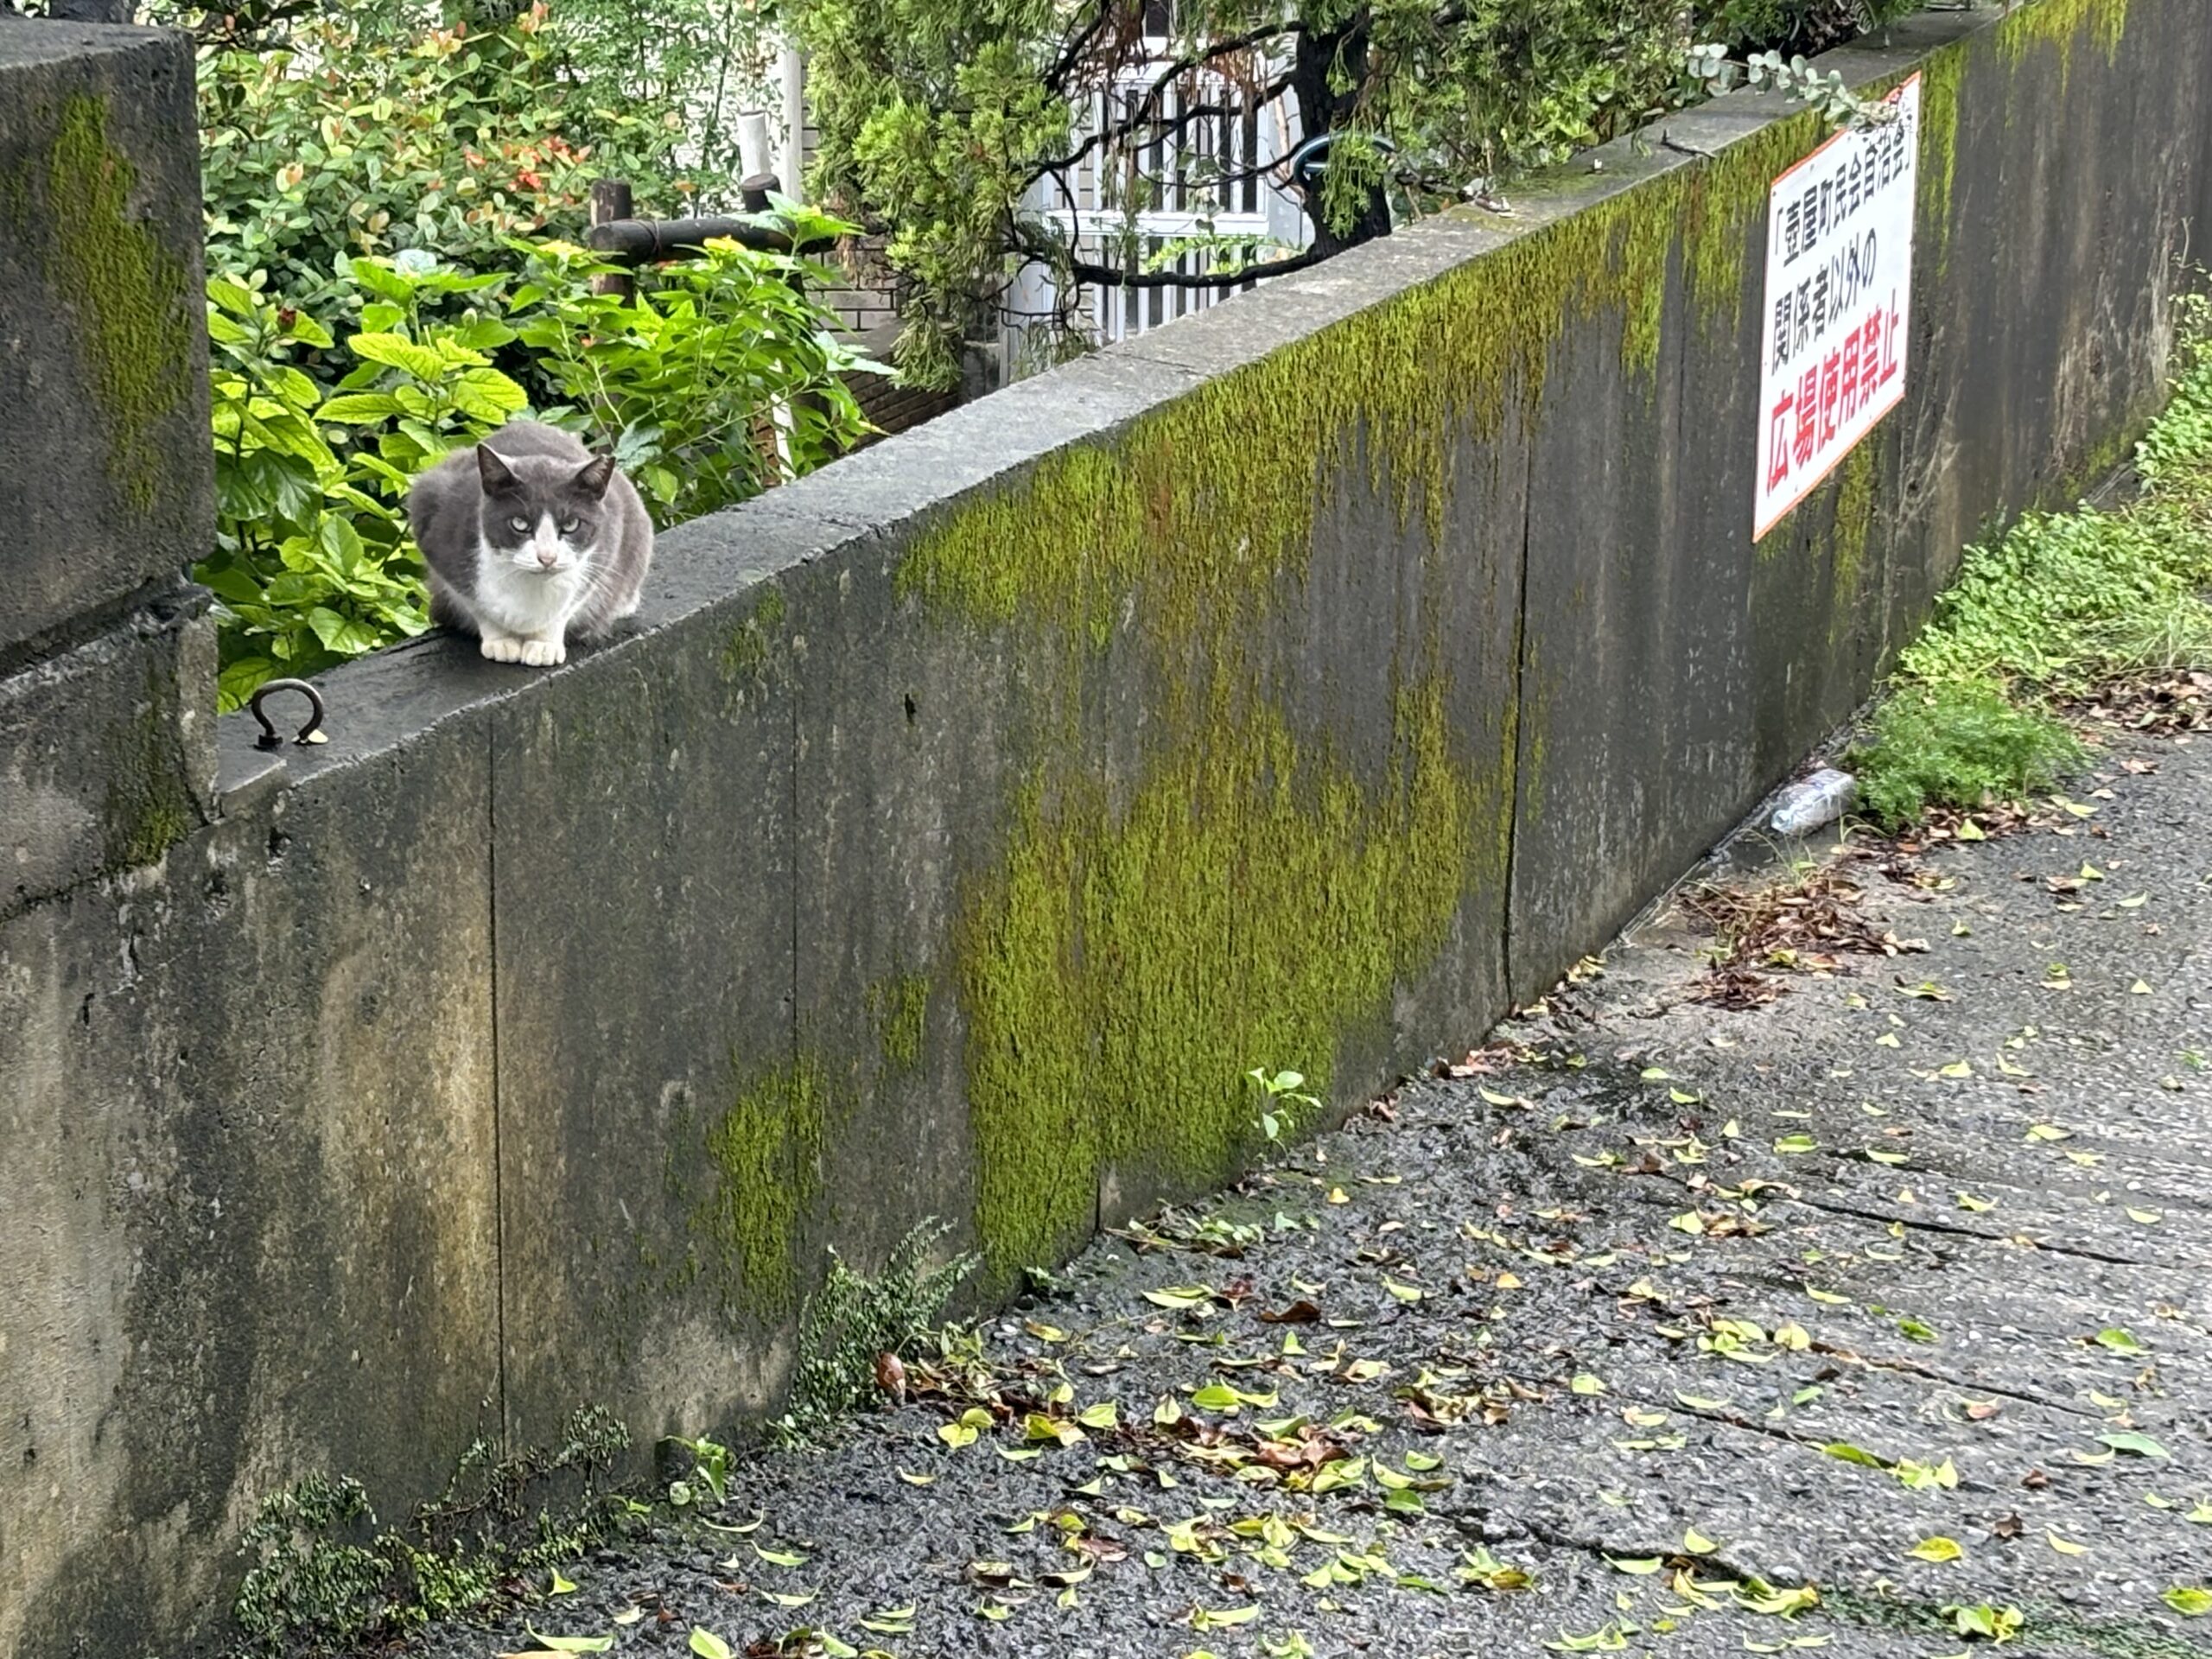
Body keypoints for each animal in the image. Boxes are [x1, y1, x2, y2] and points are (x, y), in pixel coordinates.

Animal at [409, 422, 650, 668]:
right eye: (519, 523)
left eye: (571, 524)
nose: (547, 557)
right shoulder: (439, 531)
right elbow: (477, 606)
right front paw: (501, 642)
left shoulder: (608, 545)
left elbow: (568, 606)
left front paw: (544, 645)